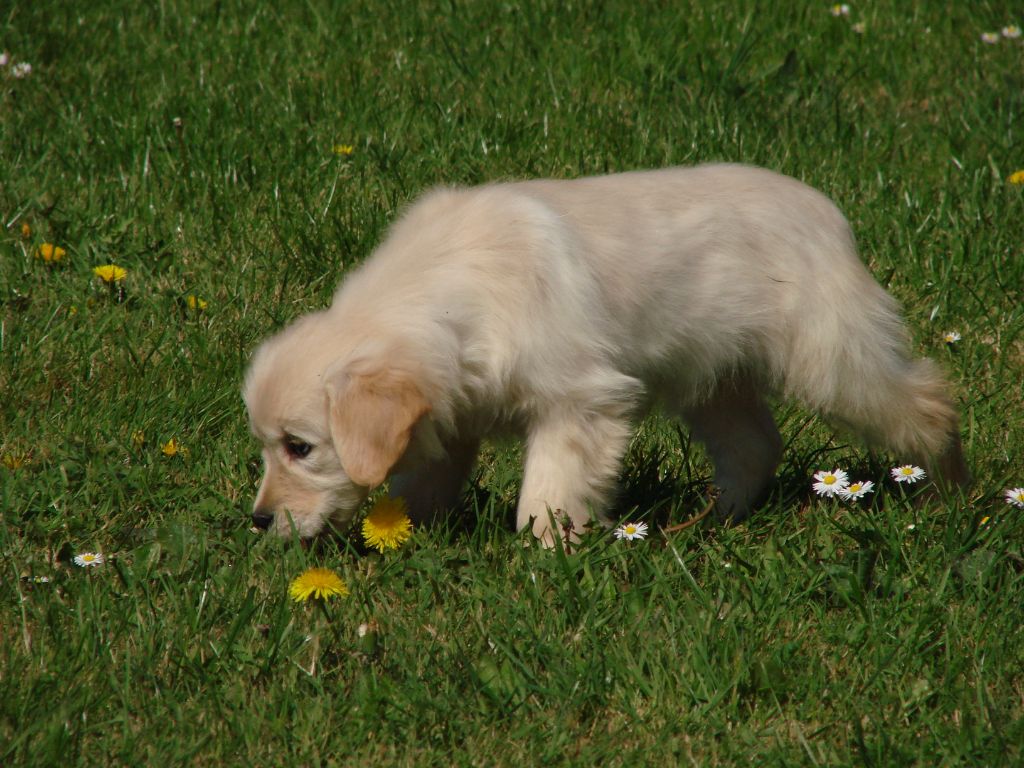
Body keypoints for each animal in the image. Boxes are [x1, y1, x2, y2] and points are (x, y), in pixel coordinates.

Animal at [243, 164, 969, 544]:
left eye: (300, 447)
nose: (256, 521)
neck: (450, 286)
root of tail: (829, 213)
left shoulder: (579, 404)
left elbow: (547, 495)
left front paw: (546, 559)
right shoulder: (452, 412)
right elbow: (423, 484)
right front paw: (412, 535)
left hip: (836, 363)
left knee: (929, 404)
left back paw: (950, 496)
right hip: (714, 380)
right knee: (755, 445)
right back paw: (709, 523)